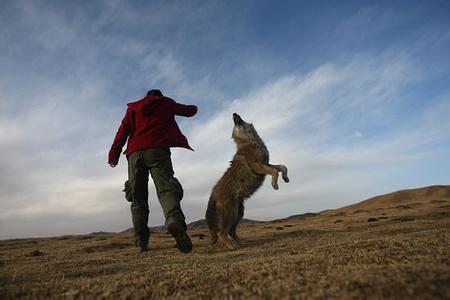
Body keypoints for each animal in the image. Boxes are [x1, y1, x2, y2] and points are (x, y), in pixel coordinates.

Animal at [207, 112, 290, 248]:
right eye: (234, 122)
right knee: (222, 233)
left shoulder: (266, 163)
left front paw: (286, 178)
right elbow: (274, 172)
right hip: (231, 214)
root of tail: (212, 194)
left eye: (236, 119)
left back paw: (241, 242)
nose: (234, 113)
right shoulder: (258, 166)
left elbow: (282, 167)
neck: (250, 140)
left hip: (239, 213)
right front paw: (275, 185)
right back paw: (232, 246)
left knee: (231, 231)